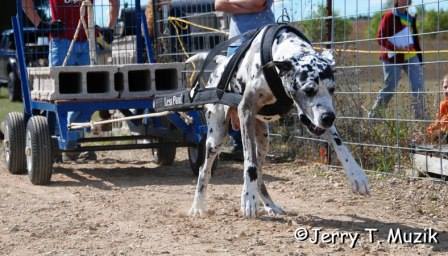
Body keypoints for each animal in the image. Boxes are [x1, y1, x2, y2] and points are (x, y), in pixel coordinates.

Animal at [187, 26, 370, 218]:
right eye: (309, 90)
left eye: (332, 89)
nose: (329, 118)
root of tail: (222, 63)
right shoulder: (246, 110)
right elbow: (249, 164)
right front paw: (248, 196)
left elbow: (339, 143)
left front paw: (356, 174)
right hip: (215, 138)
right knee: (204, 171)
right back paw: (198, 206)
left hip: (263, 140)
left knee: (260, 173)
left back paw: (269, 205)